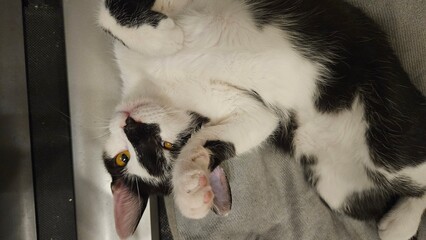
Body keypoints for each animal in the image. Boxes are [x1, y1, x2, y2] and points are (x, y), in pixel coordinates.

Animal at [97, 0, 426, 239]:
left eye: (164, 145)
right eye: (126, 157)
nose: (131, 126)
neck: (153, 82)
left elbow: (106, 12)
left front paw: (162, 37)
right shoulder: (252, 110)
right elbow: (242, 129)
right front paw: (190, 188)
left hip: (386, 126)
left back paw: (401, 224)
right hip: (335, 185)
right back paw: (398, 223)